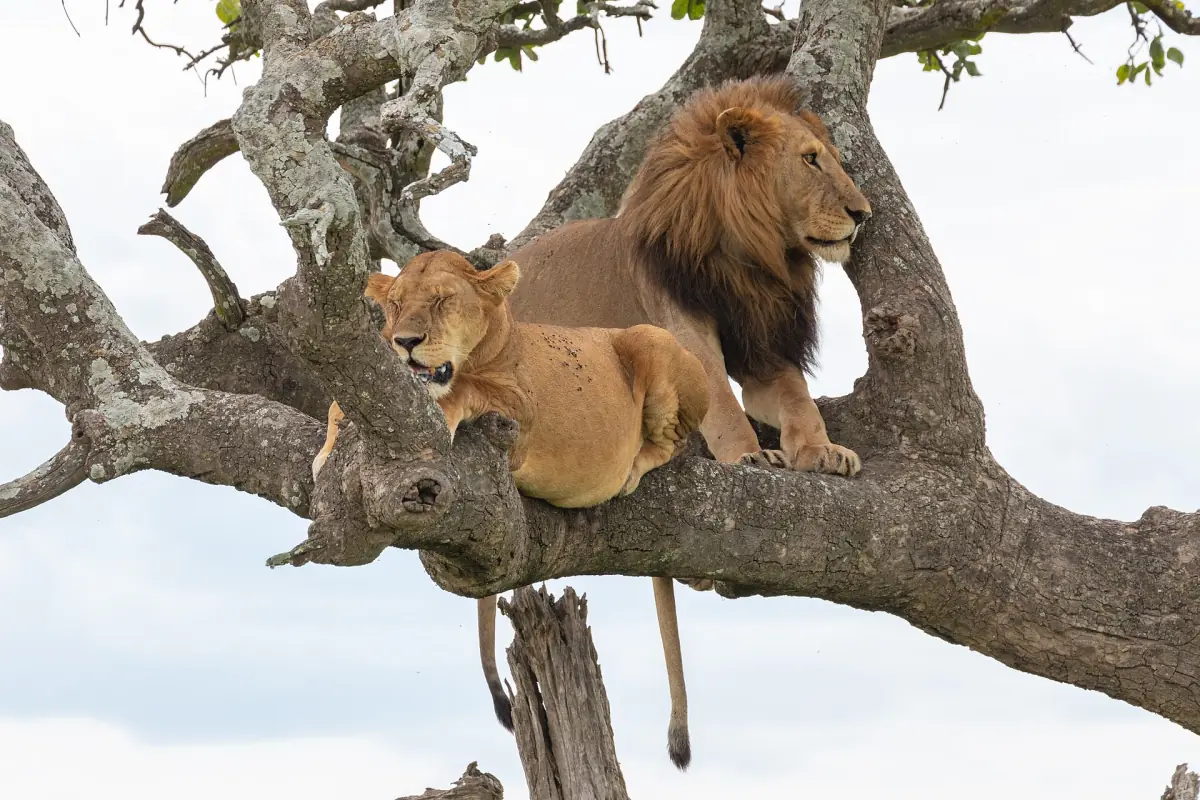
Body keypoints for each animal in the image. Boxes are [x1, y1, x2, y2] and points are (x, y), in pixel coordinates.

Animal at [311, 250, 710, 771]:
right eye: (395, 304)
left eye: (441, 300)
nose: (405, 342)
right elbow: (339, 405)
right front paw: (325, 452)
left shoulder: (521, 414)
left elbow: (466, 389)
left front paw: (443, 411)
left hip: (650, 340)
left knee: (672, 440)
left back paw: (631, 469)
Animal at [509, 75, 872, 480]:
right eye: (810, 159)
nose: (863, 214)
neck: (750, 260)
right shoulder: (684, 328)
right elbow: (723, 404)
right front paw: (750, 455)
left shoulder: (764, 346)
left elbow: (799, 399)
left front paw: (822, 450)